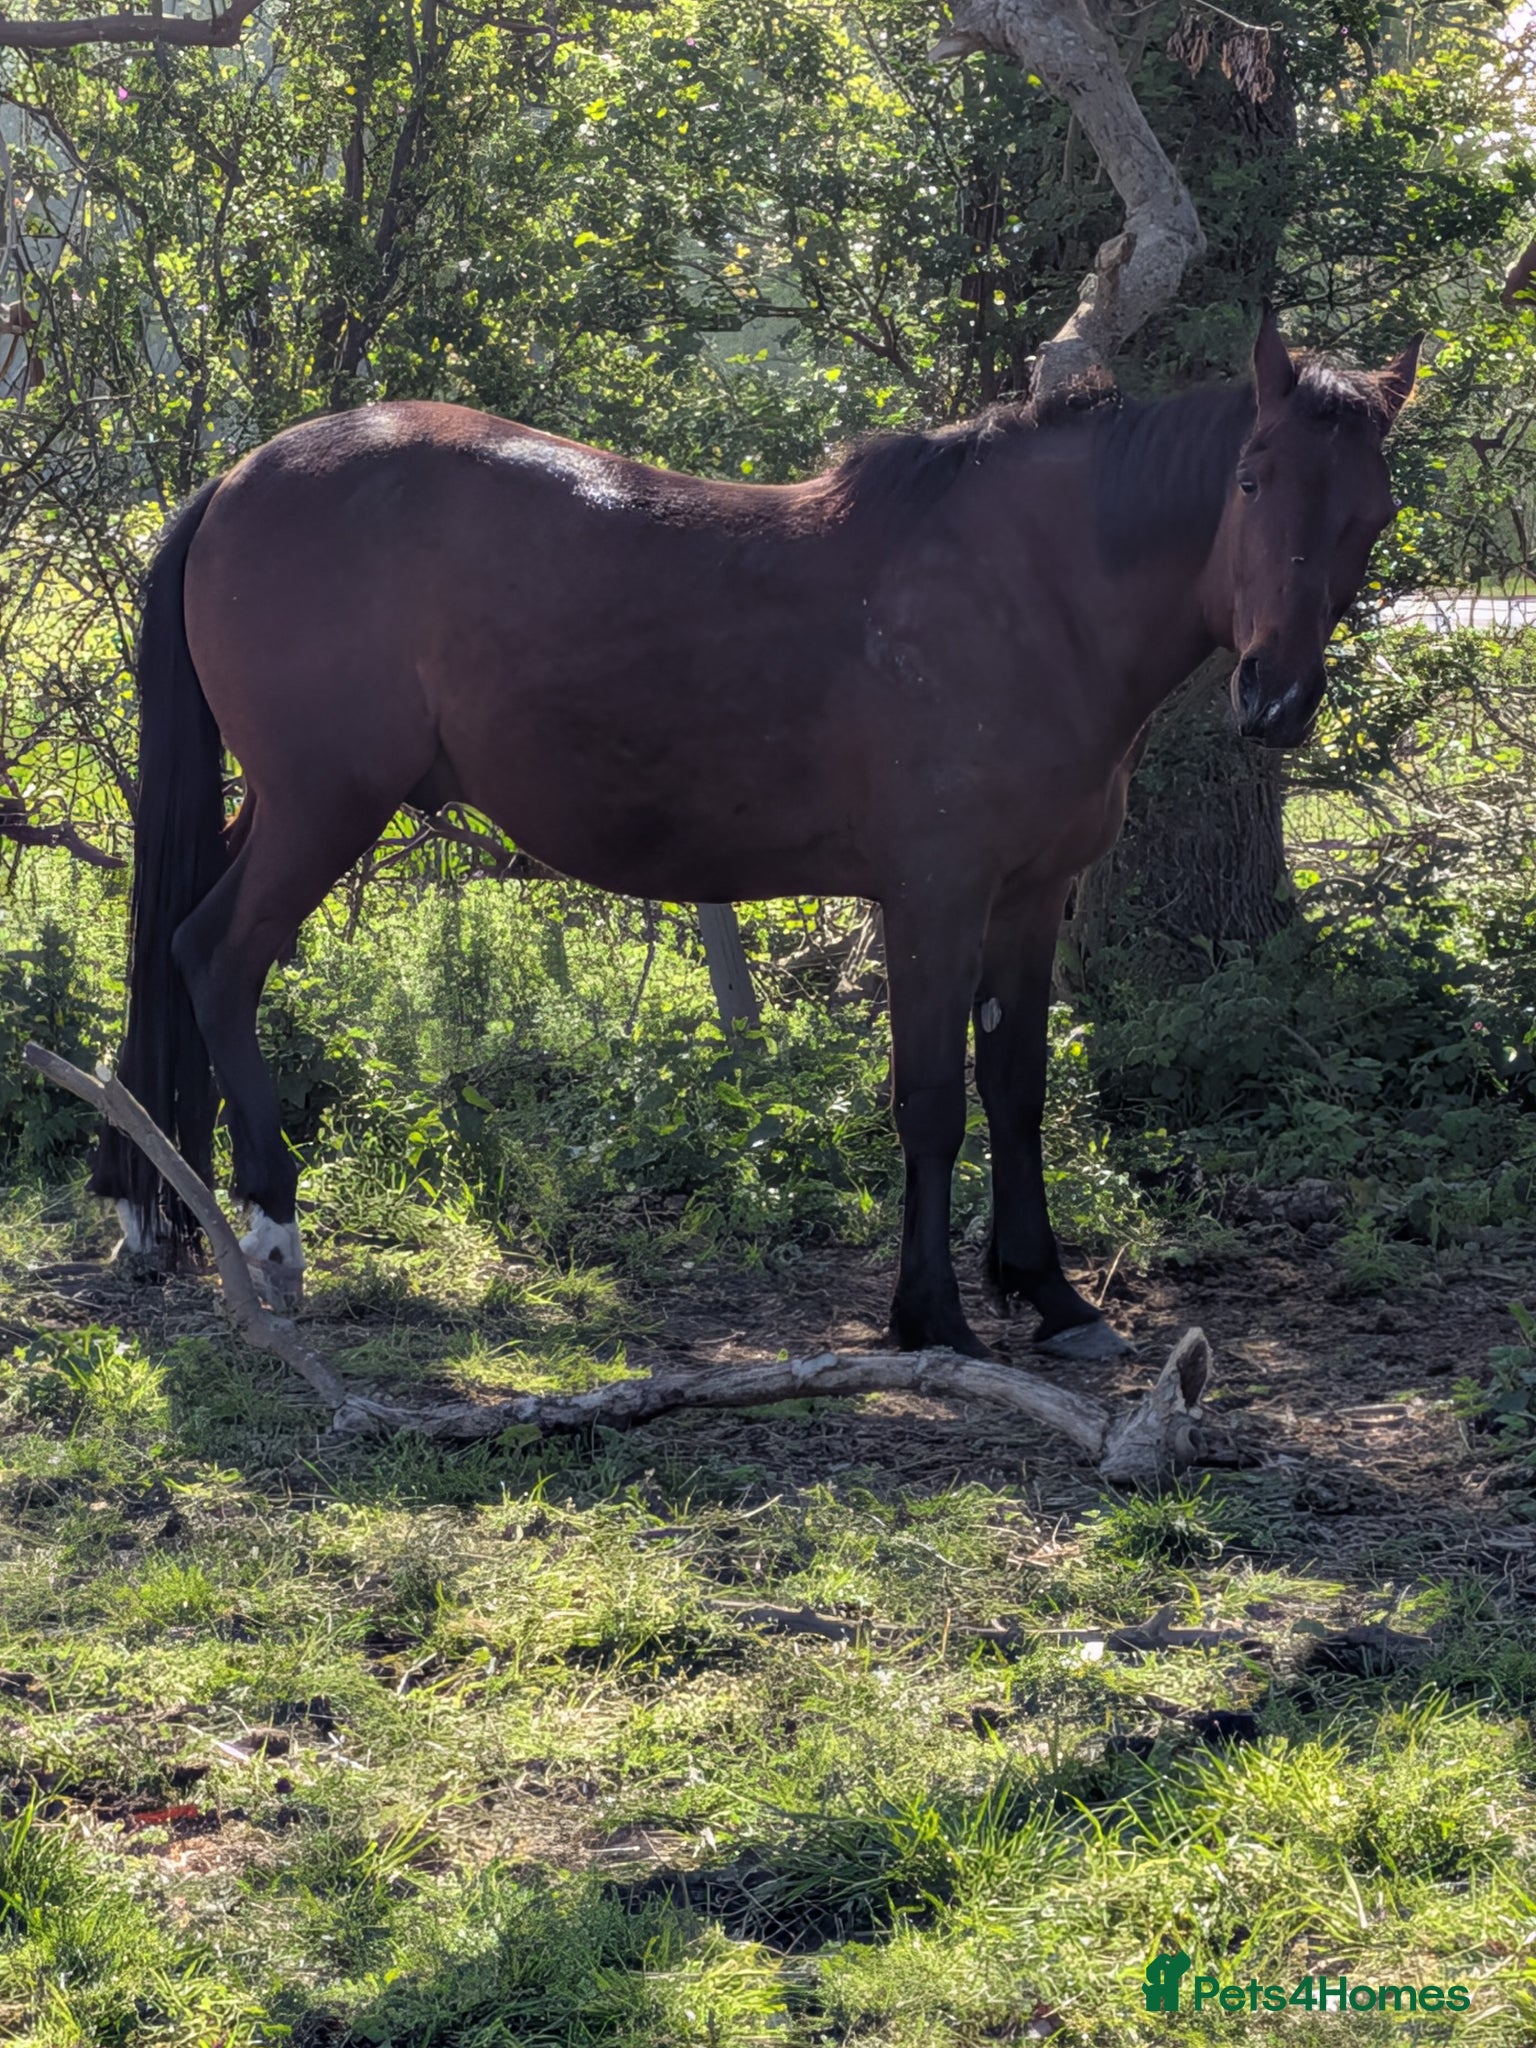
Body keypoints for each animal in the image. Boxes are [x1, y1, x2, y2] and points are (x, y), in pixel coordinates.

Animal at [91, 310, 1420, 1360]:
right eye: (1250, 480)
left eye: (1374, 511)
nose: (1276, 697)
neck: (1033, 589)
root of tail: (241, 477)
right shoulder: (933, 896)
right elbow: (931, 1098)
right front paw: (931, 1312)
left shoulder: (1030, 896)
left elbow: (1019, 1086)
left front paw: (1047, 1291)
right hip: (325, 806)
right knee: (217, 956)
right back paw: (270, 1226)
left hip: (280, 805)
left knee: (182, 948)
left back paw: (177, 1203)